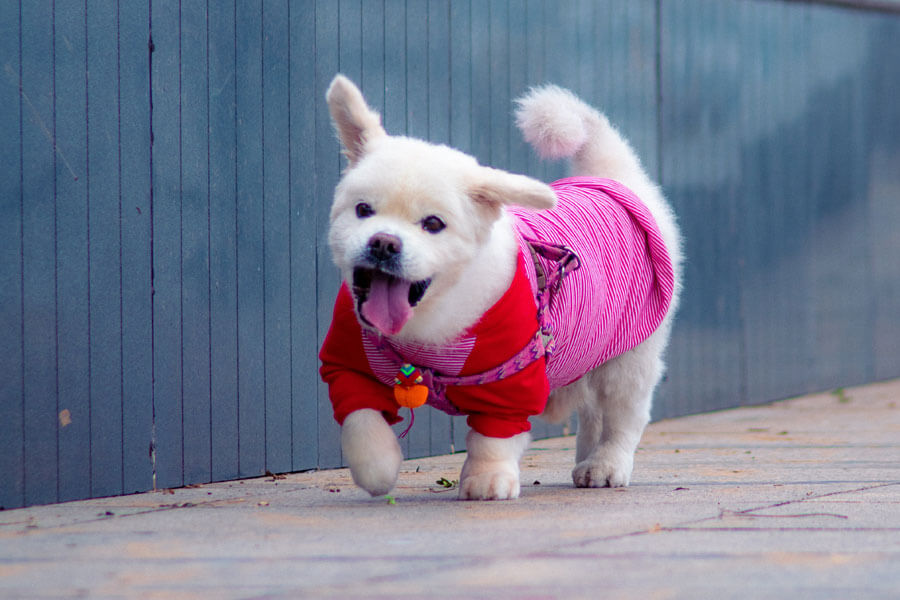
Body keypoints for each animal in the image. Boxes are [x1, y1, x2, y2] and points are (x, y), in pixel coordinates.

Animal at [320, 75, 680, 502]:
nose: (383, 243)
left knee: (623, 415)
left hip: (629, 357)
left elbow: (492, 440)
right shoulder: (348, 366)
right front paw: (378, 467)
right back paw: (587, 461)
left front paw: (487, 479)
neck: (425, 330)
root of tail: (612, 178)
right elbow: (362, 424)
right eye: (363, 210)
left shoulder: (511, 382)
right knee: (593, 413)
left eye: (433, 224)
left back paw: (607, 464)